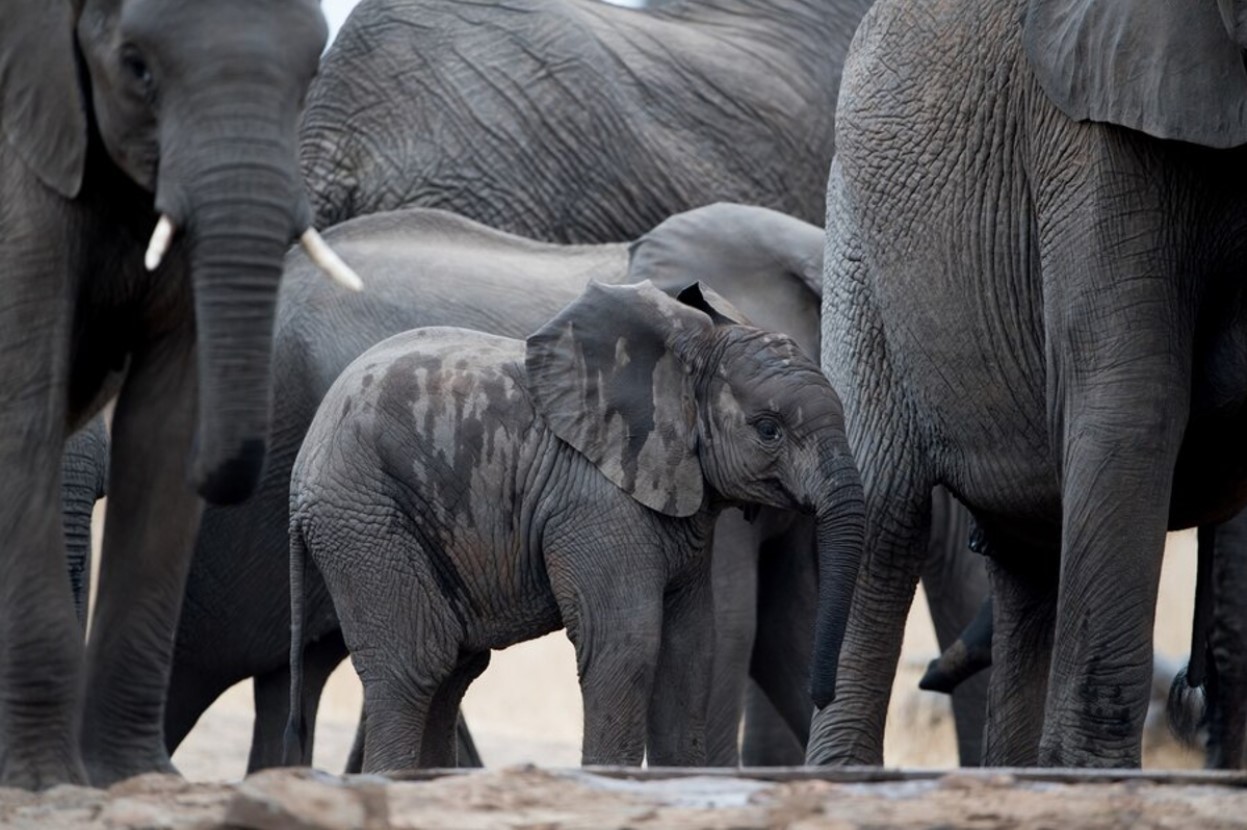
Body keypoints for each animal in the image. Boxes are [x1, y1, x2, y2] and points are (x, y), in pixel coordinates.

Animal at [0, 0, 362, 788]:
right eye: (137, 67)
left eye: (310, 73)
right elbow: (22, 405)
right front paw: (45, 783)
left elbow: (164, 423)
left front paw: (134, 778)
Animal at [284, 280, 866, 771]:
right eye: (768, 430)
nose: (822, 694)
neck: (684, 358)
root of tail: (303, 461)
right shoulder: (594, 500)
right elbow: (626, 643)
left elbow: (692, 647)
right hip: (362, 516)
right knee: (416, 665)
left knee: (454, 669)